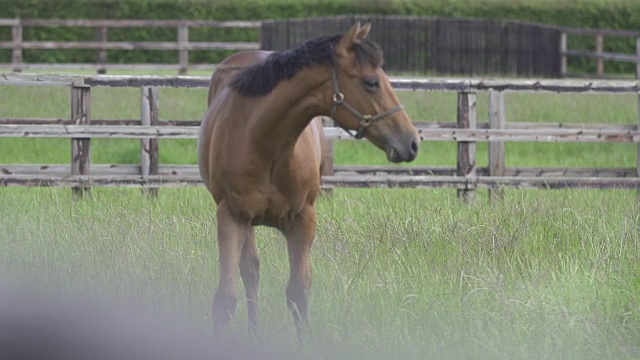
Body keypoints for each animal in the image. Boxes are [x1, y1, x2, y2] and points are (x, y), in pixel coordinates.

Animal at [200, 23, 420, 340]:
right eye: (371, 82)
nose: (412, 141)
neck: (264, 143)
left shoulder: (303, 220)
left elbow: (298, 294)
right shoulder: (231, 216)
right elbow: (226, 299)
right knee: (251, 273)